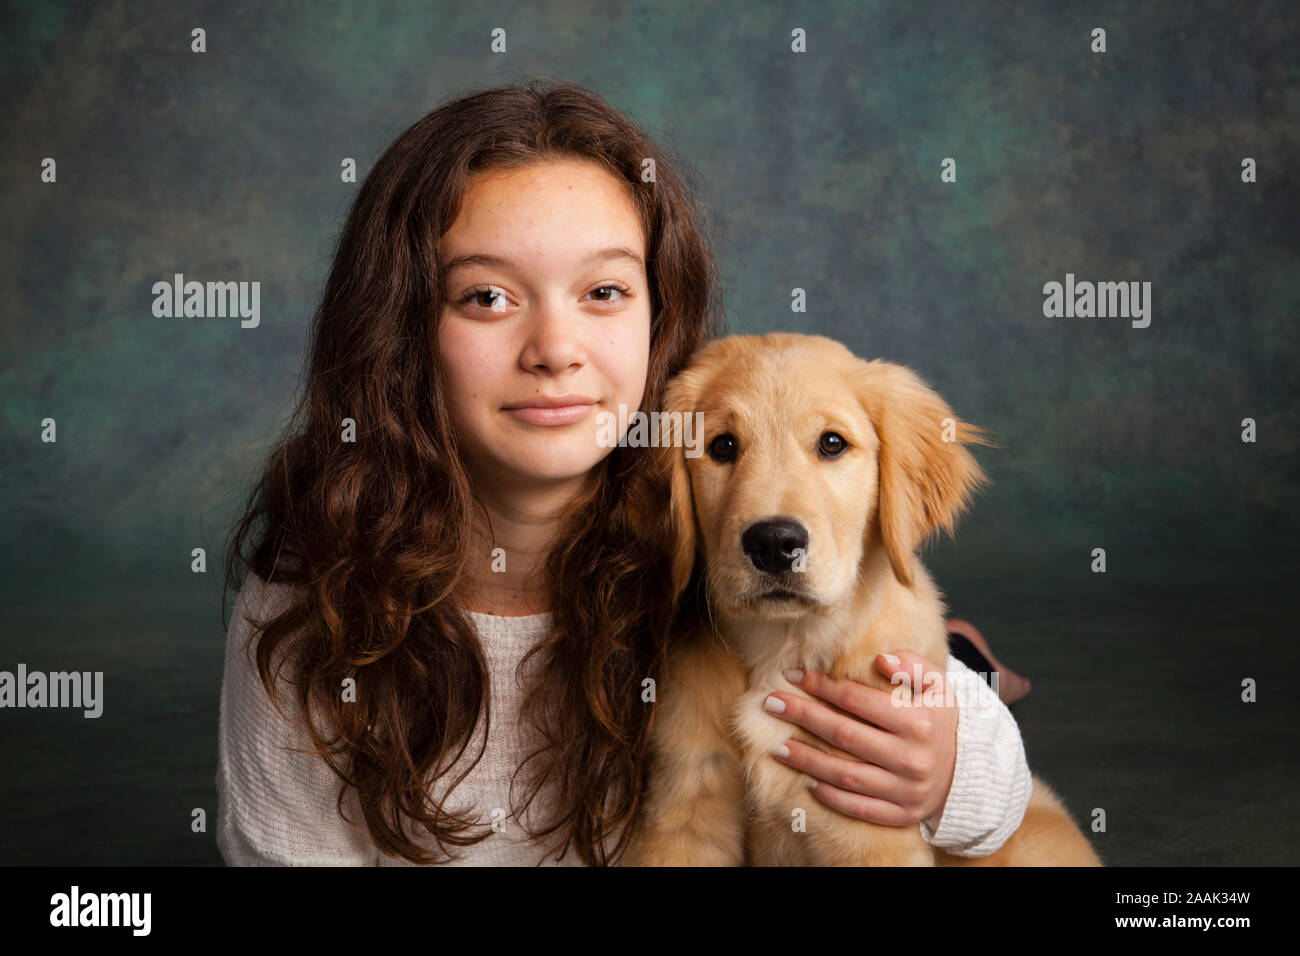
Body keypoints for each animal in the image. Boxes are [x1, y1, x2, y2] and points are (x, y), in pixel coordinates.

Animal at [624, 335, 1102, 868]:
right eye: (722, 446)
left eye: (832, 443)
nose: (773, 543)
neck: (785, 647)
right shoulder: (685, 814)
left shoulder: (867, 827)